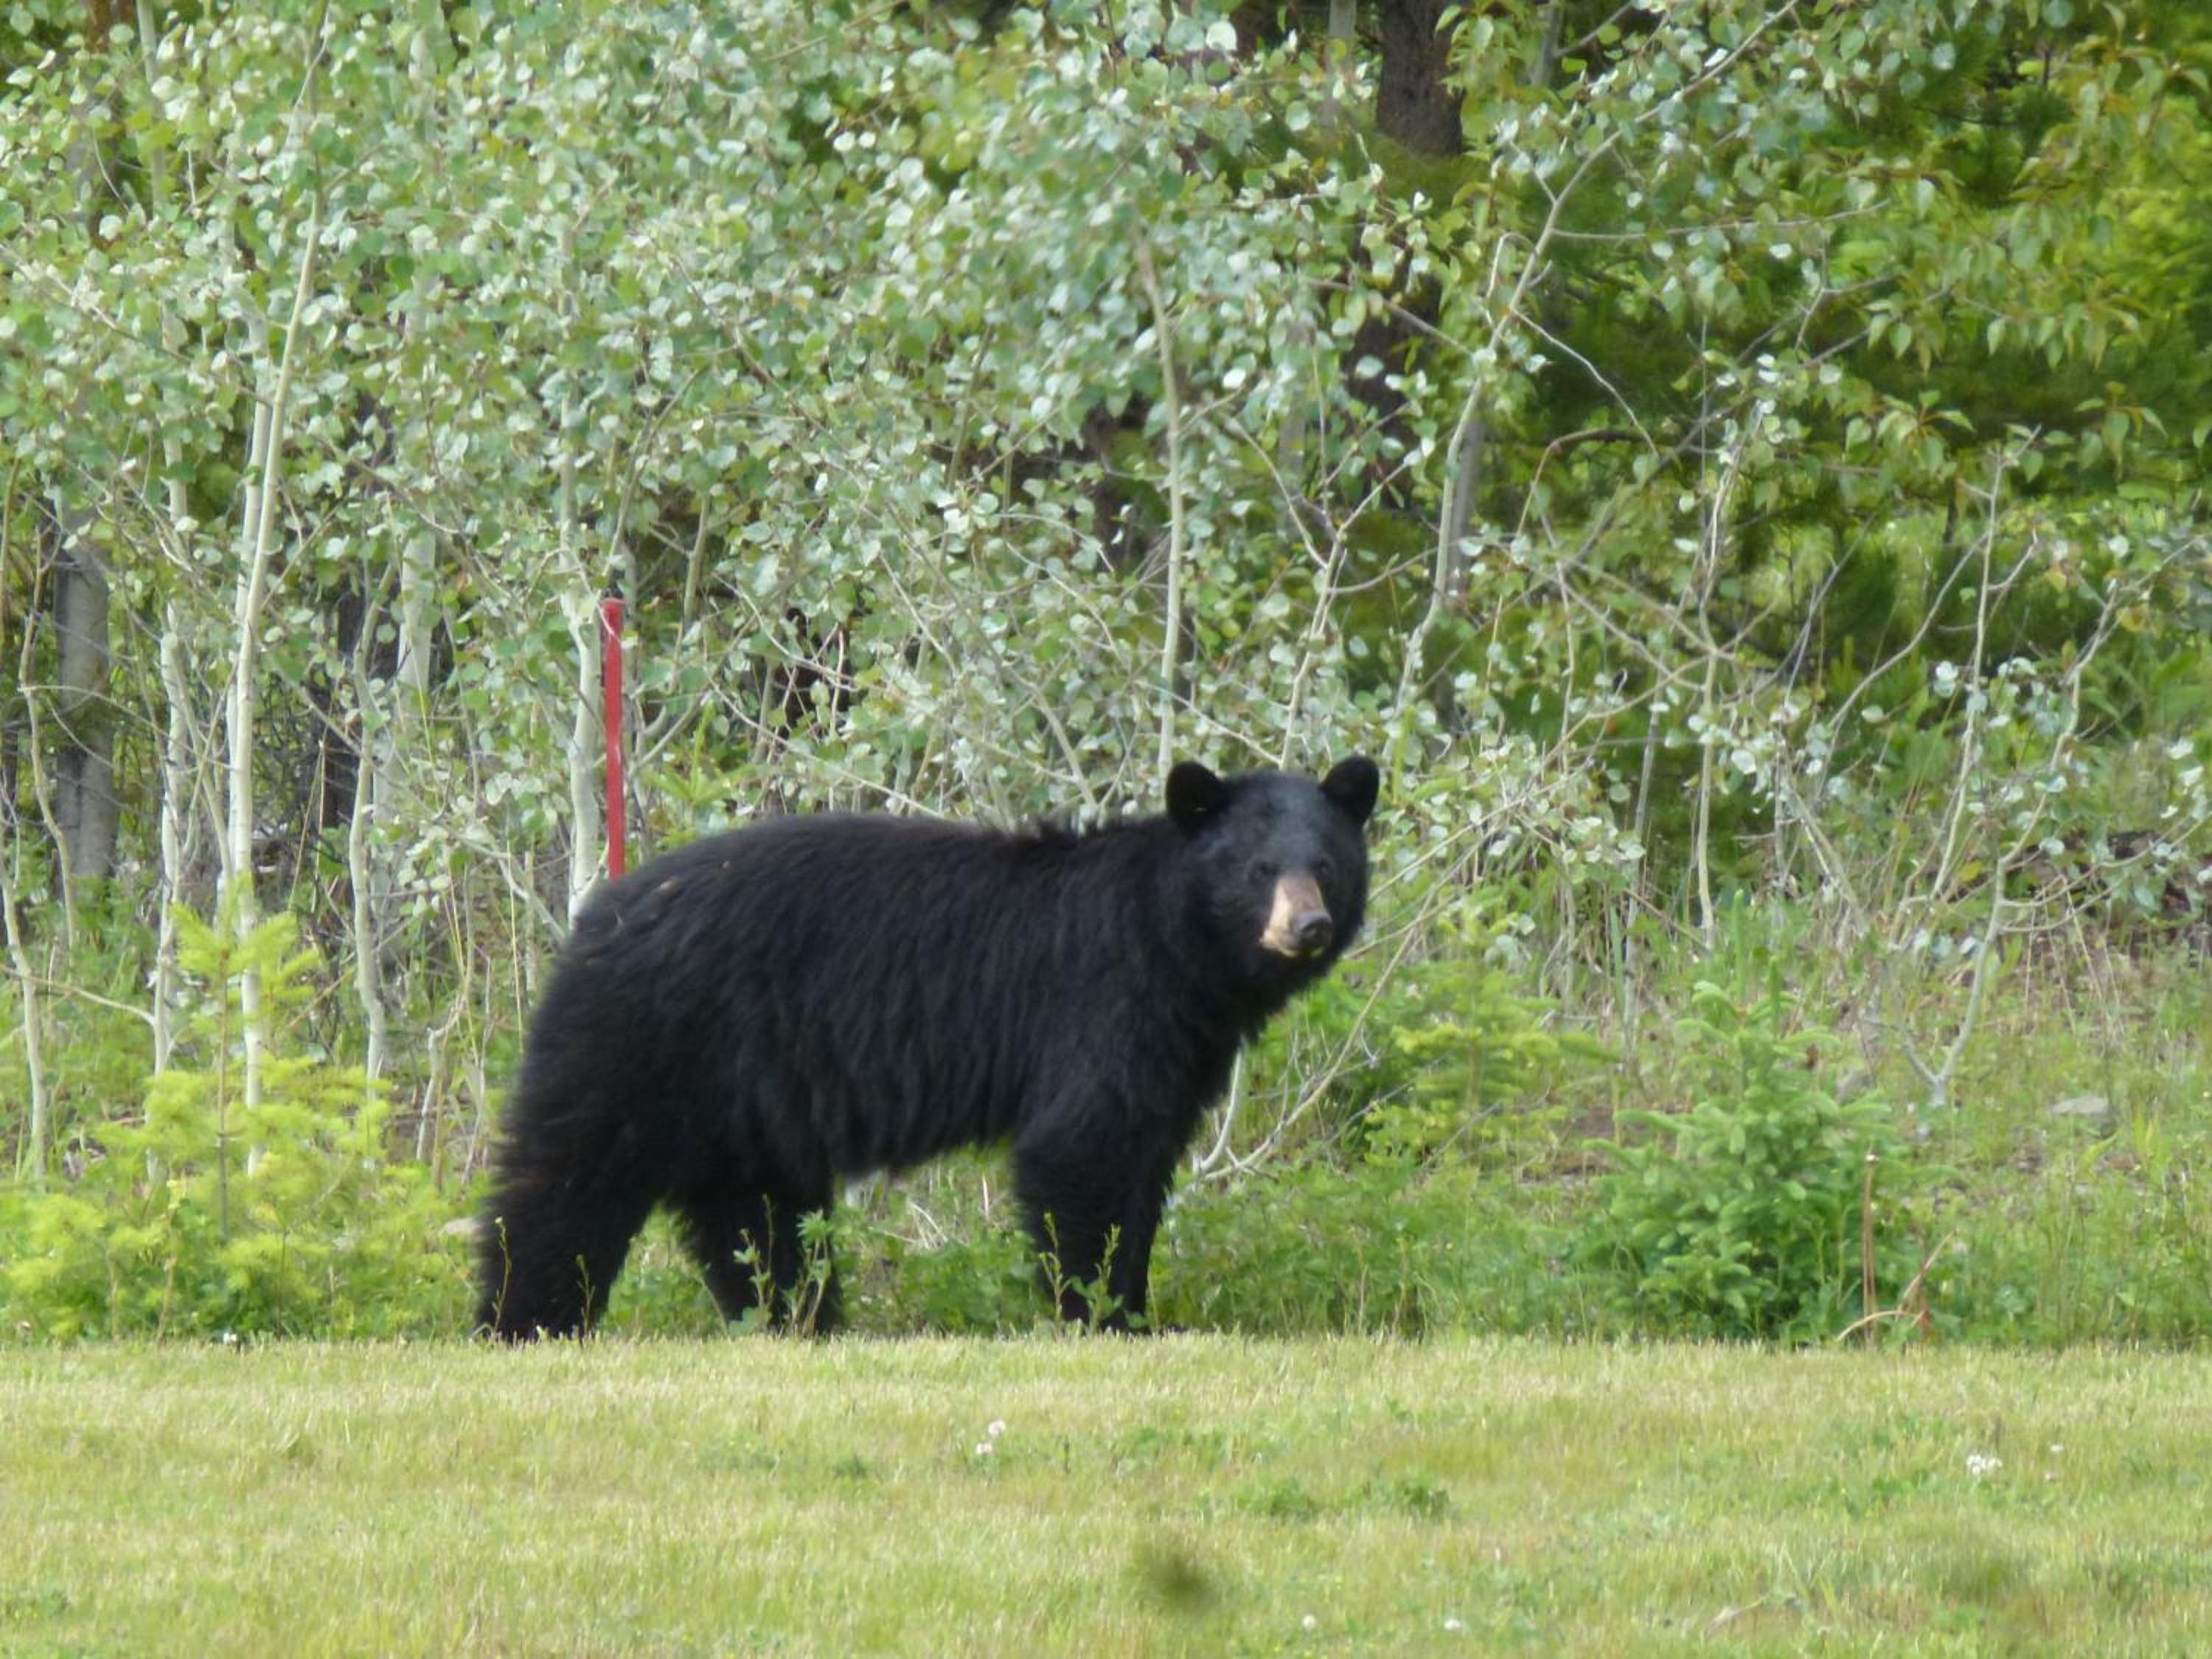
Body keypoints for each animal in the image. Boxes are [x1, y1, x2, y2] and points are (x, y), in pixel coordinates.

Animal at [476, 755, 1378, 1339]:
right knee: (566, 1181)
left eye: (1326, 865)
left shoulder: (1181, 1047)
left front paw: (1139, 1309)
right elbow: (1082, 1149)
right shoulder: (1104, 1005)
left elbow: (1144, 1162)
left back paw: (797, 1323)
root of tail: (599, 913)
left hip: (742, 1102)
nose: (1308, 926)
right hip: (639, 1041)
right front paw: (1104, 1316)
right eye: (1259, 868)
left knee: (757, 1221)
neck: (1180, 947)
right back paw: (522, 1319)